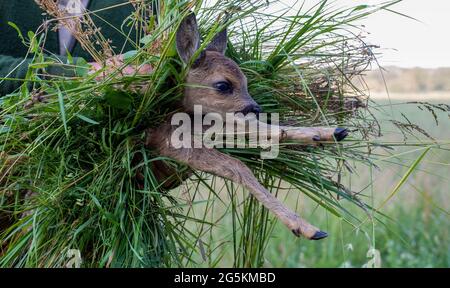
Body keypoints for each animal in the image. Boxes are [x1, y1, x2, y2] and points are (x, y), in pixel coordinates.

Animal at [144, 13, 348, 240]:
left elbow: (251, 128)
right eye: (222, 85)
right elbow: (237, 165)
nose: (256, 107)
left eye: (246, 82)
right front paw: (305, 227)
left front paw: (328, 133)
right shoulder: (164, 139)